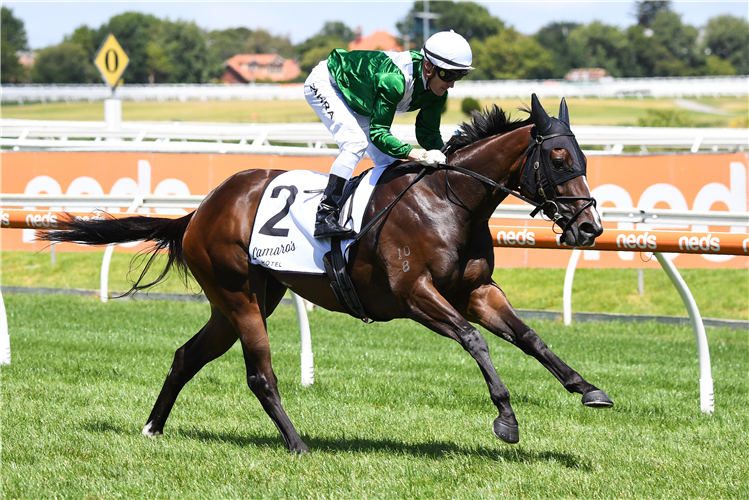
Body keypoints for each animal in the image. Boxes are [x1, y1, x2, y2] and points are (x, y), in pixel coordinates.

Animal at [43, 94, 612, 454]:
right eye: (558, 157)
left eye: (583, 156)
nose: (589, 227)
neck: (449, 202)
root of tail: (202, 209)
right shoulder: (415, 295)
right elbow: (475, 340)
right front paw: (506, 420)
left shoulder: (476, 290)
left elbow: (530, 338)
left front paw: (587, 388)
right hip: (238, 295)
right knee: (260, 375)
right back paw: (297, 443)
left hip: (245, 299)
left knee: (187, 355)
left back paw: (153, 428)